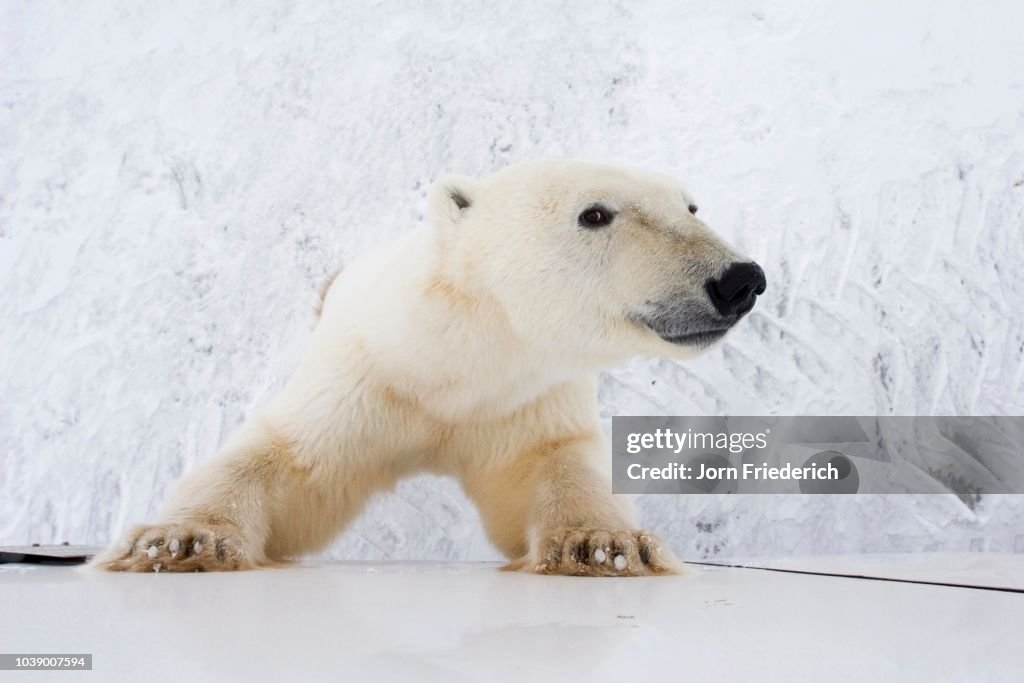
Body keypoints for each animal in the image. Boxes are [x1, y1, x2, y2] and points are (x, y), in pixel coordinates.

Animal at [94, 161, 761, 577]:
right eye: (594, 214)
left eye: (691, 205)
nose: (739, 280)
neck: (456, 366)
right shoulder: (366, 377)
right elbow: (291, 466)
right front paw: (179, 540)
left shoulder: (528, 400)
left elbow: (552, 468)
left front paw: (604, 545)